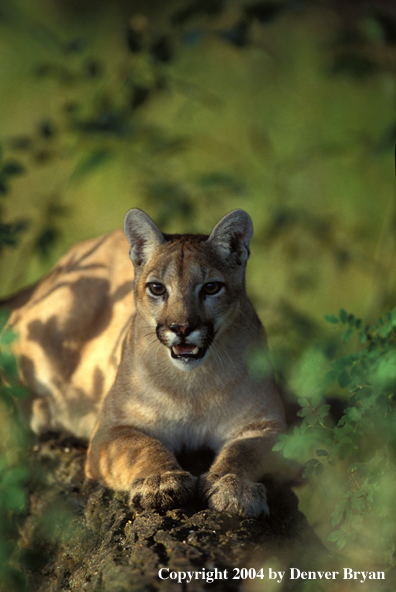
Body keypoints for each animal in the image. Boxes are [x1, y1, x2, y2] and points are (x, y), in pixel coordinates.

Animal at [5, 209, 284, 520]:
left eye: (211, 287)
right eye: (157, 288)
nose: (181, 328)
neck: (192, 384)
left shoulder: (270, 426)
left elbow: (243, 452)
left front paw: (233, 486)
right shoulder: (112, 429)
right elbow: (143, 446)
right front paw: (160, 482)